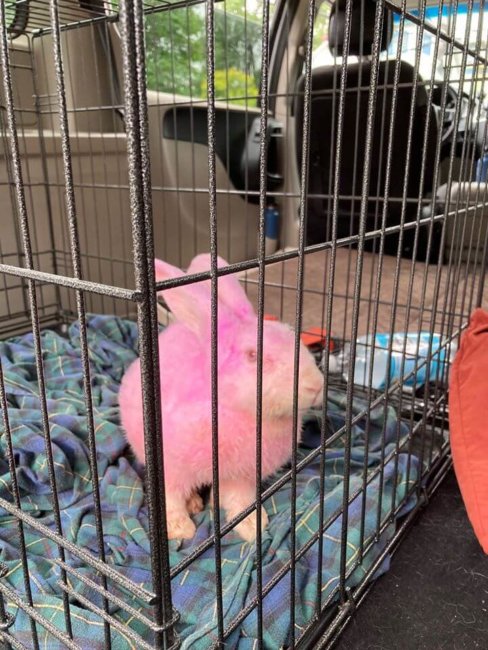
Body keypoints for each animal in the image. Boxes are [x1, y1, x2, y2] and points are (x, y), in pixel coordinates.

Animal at [118, 254, 324, 542]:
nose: (316, 386)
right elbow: (170, 499)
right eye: (253, 356)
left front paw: (252, 526)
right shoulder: (170, 469)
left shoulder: (241, 477)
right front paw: (180, 529)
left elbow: (240, 502)